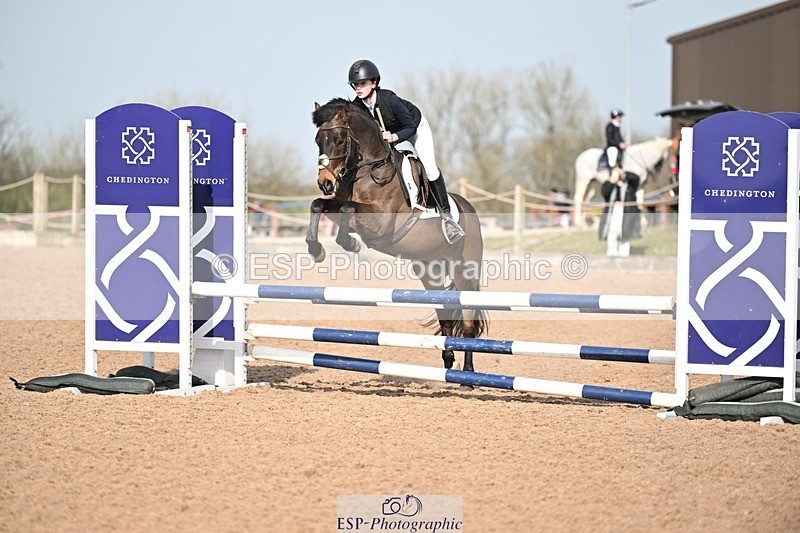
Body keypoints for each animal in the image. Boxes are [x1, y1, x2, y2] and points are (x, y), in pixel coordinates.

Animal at [305, 98, 487, 373]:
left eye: (339, 139)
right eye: (317, 140)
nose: (325, 183)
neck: (369, 169)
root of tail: (471, 211)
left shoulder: (381, 222)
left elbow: (348, 210)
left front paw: (350, 243)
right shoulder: (337, 204)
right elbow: (318, 205)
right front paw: (316, 249)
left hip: (465, 270)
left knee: (468, 321)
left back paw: (467, 372)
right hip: (430, 270)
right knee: (445, 314)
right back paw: (447, 362)